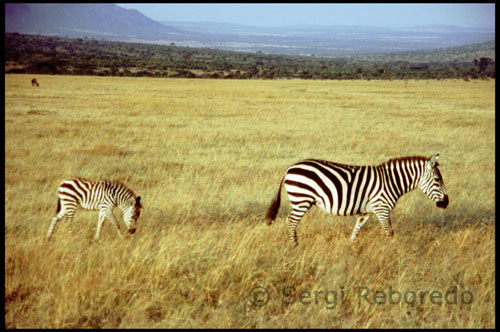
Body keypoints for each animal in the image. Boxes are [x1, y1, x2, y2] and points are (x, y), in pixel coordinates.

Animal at [266, 154, 450, 245]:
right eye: (437, 180)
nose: (446, 202)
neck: (392, 181)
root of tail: (290, 168)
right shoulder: (382, 208)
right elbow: (389, 232)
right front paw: (394, 250)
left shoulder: (367, 211)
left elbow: (357, 229)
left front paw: (350, 247)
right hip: (301, 200)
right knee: (291, 222)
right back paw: (294, 246)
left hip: (301, 201)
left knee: (290, 222)